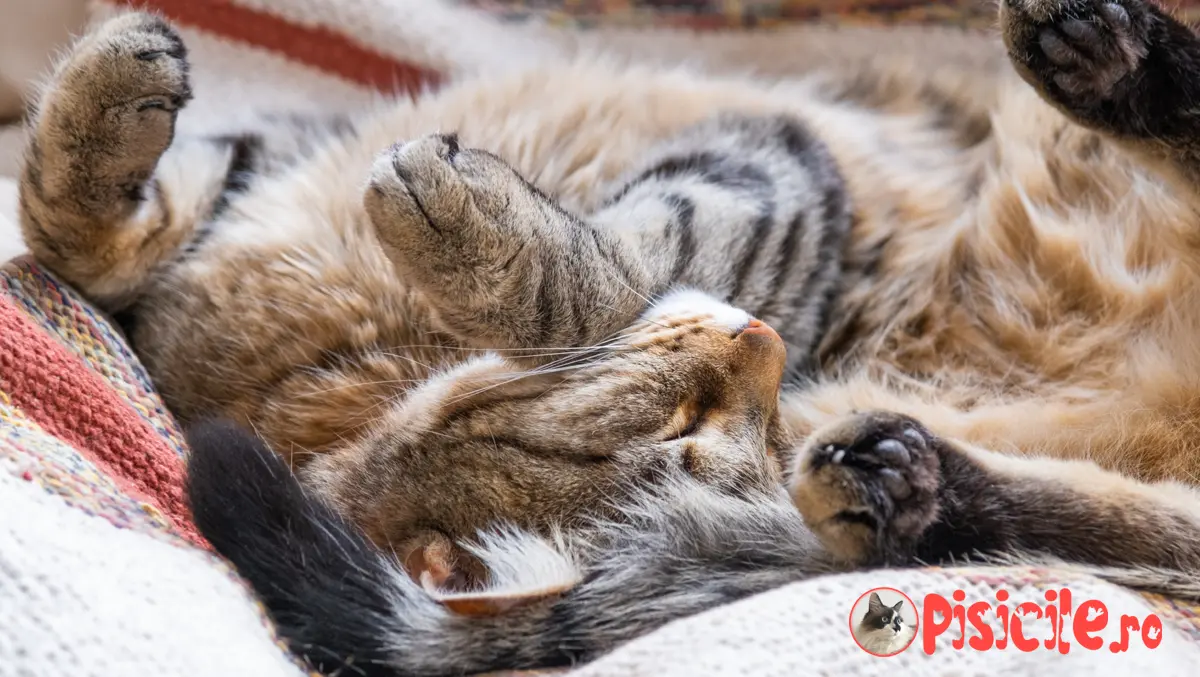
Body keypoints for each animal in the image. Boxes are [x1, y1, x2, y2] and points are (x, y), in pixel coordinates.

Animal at [18, 0, 1200, 672]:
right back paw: (902, 478)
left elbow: (653, 237)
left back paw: (1116, 61)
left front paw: (487, 242)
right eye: (686, 424)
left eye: (747, 429)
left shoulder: (786, 171)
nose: (769, 344)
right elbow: (84, 242)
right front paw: (103, 105)